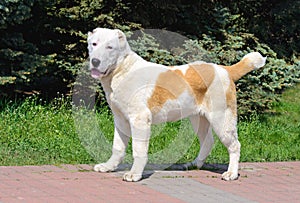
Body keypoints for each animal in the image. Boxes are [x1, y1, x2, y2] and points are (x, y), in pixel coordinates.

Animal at [88, 27, 266, 182]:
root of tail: (225, 69)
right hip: (199, 119)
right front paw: (109, 166)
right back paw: (195, 165)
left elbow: (138, 150)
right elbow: (117, 147)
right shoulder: (120, 119)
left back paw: (231, 173)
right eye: (94, 44)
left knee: (235, 145)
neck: (122, 70)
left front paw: (135, 174)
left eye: (110, 47)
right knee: (208, 142)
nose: (95, 61)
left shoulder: (140, 119)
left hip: (221, 119)